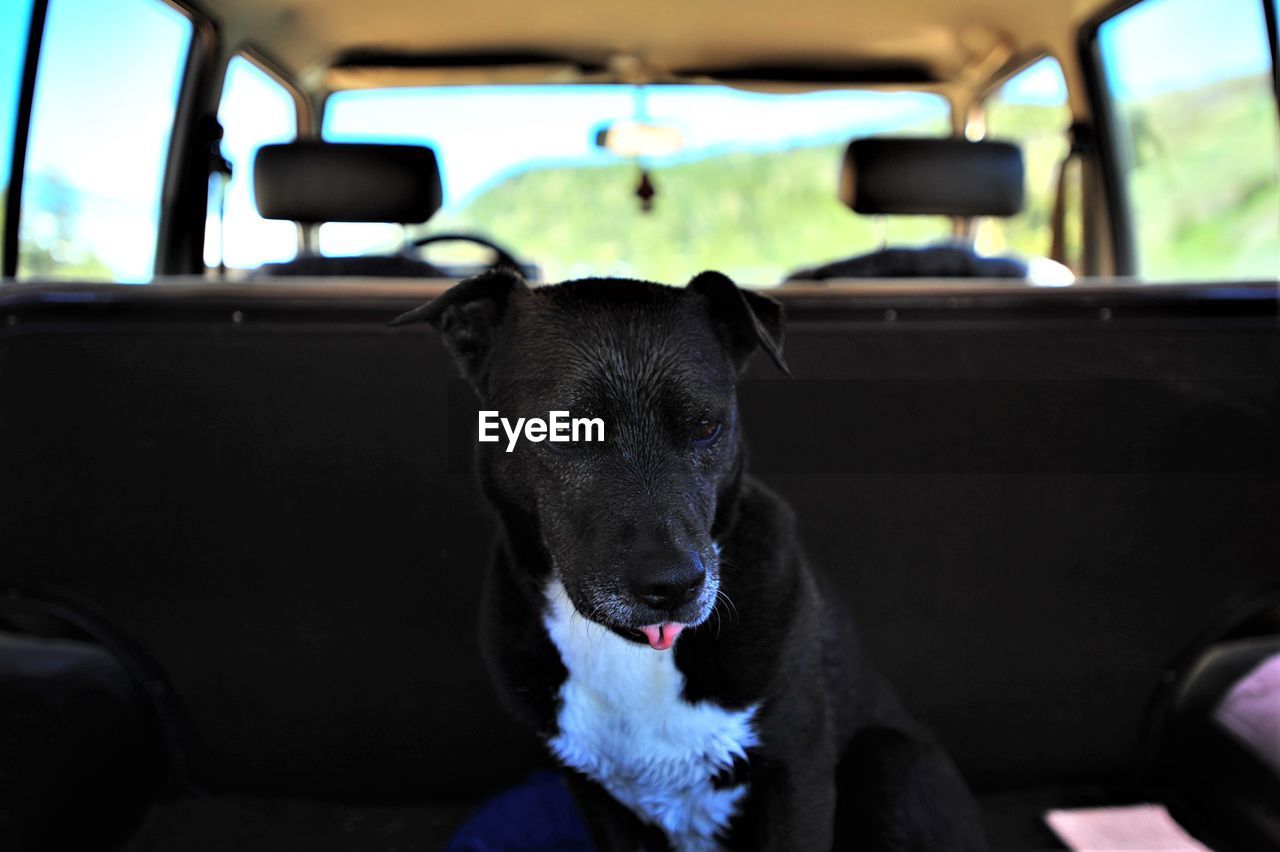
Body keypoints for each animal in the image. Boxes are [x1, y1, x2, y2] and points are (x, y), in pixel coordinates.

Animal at [394, 268, 983, 844]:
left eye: (705, 426)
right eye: (563, 427)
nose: (674, 585)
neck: (632, 655)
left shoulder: (798, 778)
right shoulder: (595, 797)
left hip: (890, 761)